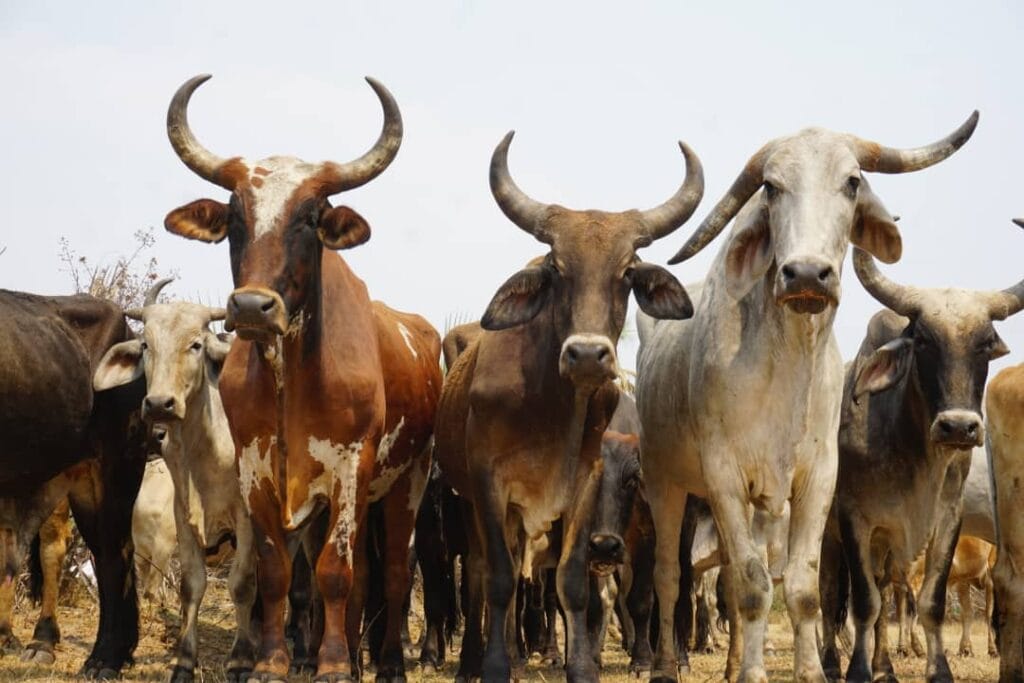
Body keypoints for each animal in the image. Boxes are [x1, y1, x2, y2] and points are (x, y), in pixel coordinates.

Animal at [94, 278, 256, 683]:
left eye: (196, 344)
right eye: (146, 344)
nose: (159, 404)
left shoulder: (247, 519)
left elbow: (242, 584)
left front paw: (240, 661)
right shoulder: (183, 517)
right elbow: (191, 586)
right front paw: (184, 661)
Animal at [161, 74, 442, 683]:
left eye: (311, 217)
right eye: (234, 217)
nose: (251, 307)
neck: (291, 376)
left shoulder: (350, 470)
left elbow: (336, 572)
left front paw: (335, 665)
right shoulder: (257, 473)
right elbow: (276, 573)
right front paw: (274, 660)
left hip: (407, 481)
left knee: (389, 572)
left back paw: (383, 662)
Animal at [432, 131, 704, 679]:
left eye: (627, 272)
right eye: (556, 269)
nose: (586, 355)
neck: (551, 411)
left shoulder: (584, 485)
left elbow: (574, 584)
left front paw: (581, 666)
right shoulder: (489, 484)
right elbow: (498, 580)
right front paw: (495, 667)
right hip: (471, 503)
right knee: (483, 577)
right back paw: (478, 658)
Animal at [634, 112, 978, 683]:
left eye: (853, 182)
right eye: (772, 188)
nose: (807, 274)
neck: (786, 368)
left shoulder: (817, 478)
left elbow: (801, 587)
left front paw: (809, 670)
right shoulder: (723, 475)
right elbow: (753, 587)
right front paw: (754, 674)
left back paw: (732, 662)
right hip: (666, 482)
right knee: (667, 575)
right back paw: (664, 665)